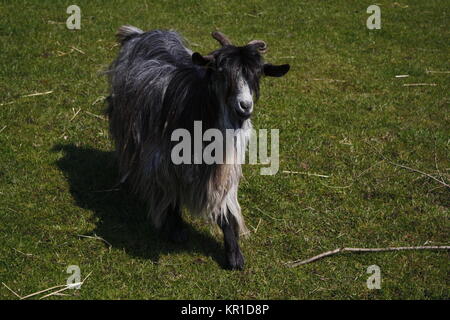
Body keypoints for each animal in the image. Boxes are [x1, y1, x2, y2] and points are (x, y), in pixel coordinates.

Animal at [105, 25, 290, 270]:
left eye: (257, 74)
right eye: (221, 72)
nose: (244, 106)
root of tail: (139, 33)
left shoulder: (224, 168)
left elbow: (225, 206)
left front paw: (234, 255)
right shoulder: (163, 158)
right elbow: (170, 191)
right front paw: (176, 229)